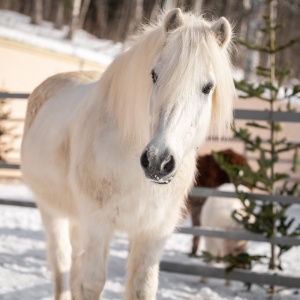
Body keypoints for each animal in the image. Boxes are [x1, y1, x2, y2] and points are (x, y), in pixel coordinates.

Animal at [21, 8, 234, 300]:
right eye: (154, 74)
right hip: (51, 211)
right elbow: (92, 283)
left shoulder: (153, 232)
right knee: (62, 266)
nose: (157, 161)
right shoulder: (97, 224)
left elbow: (142, 287)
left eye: (207, 87)